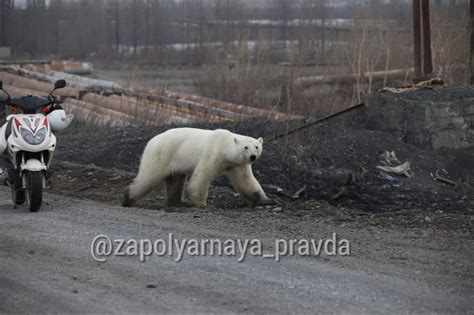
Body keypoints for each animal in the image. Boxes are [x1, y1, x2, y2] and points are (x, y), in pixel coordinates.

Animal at [122, 127, 270, 209]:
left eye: (257, 146)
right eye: (246, 147)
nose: (252, 157)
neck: (226, 147)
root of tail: (151, 141)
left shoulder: (237, 164)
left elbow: (245, 180)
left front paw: (266, 200)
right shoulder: (213, 152)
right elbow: (202, 175)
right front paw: (201, 203)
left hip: (175, 161)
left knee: (176, 180)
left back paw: (177, 202)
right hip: (163, 153)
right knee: (150, 176)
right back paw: (127, 198)